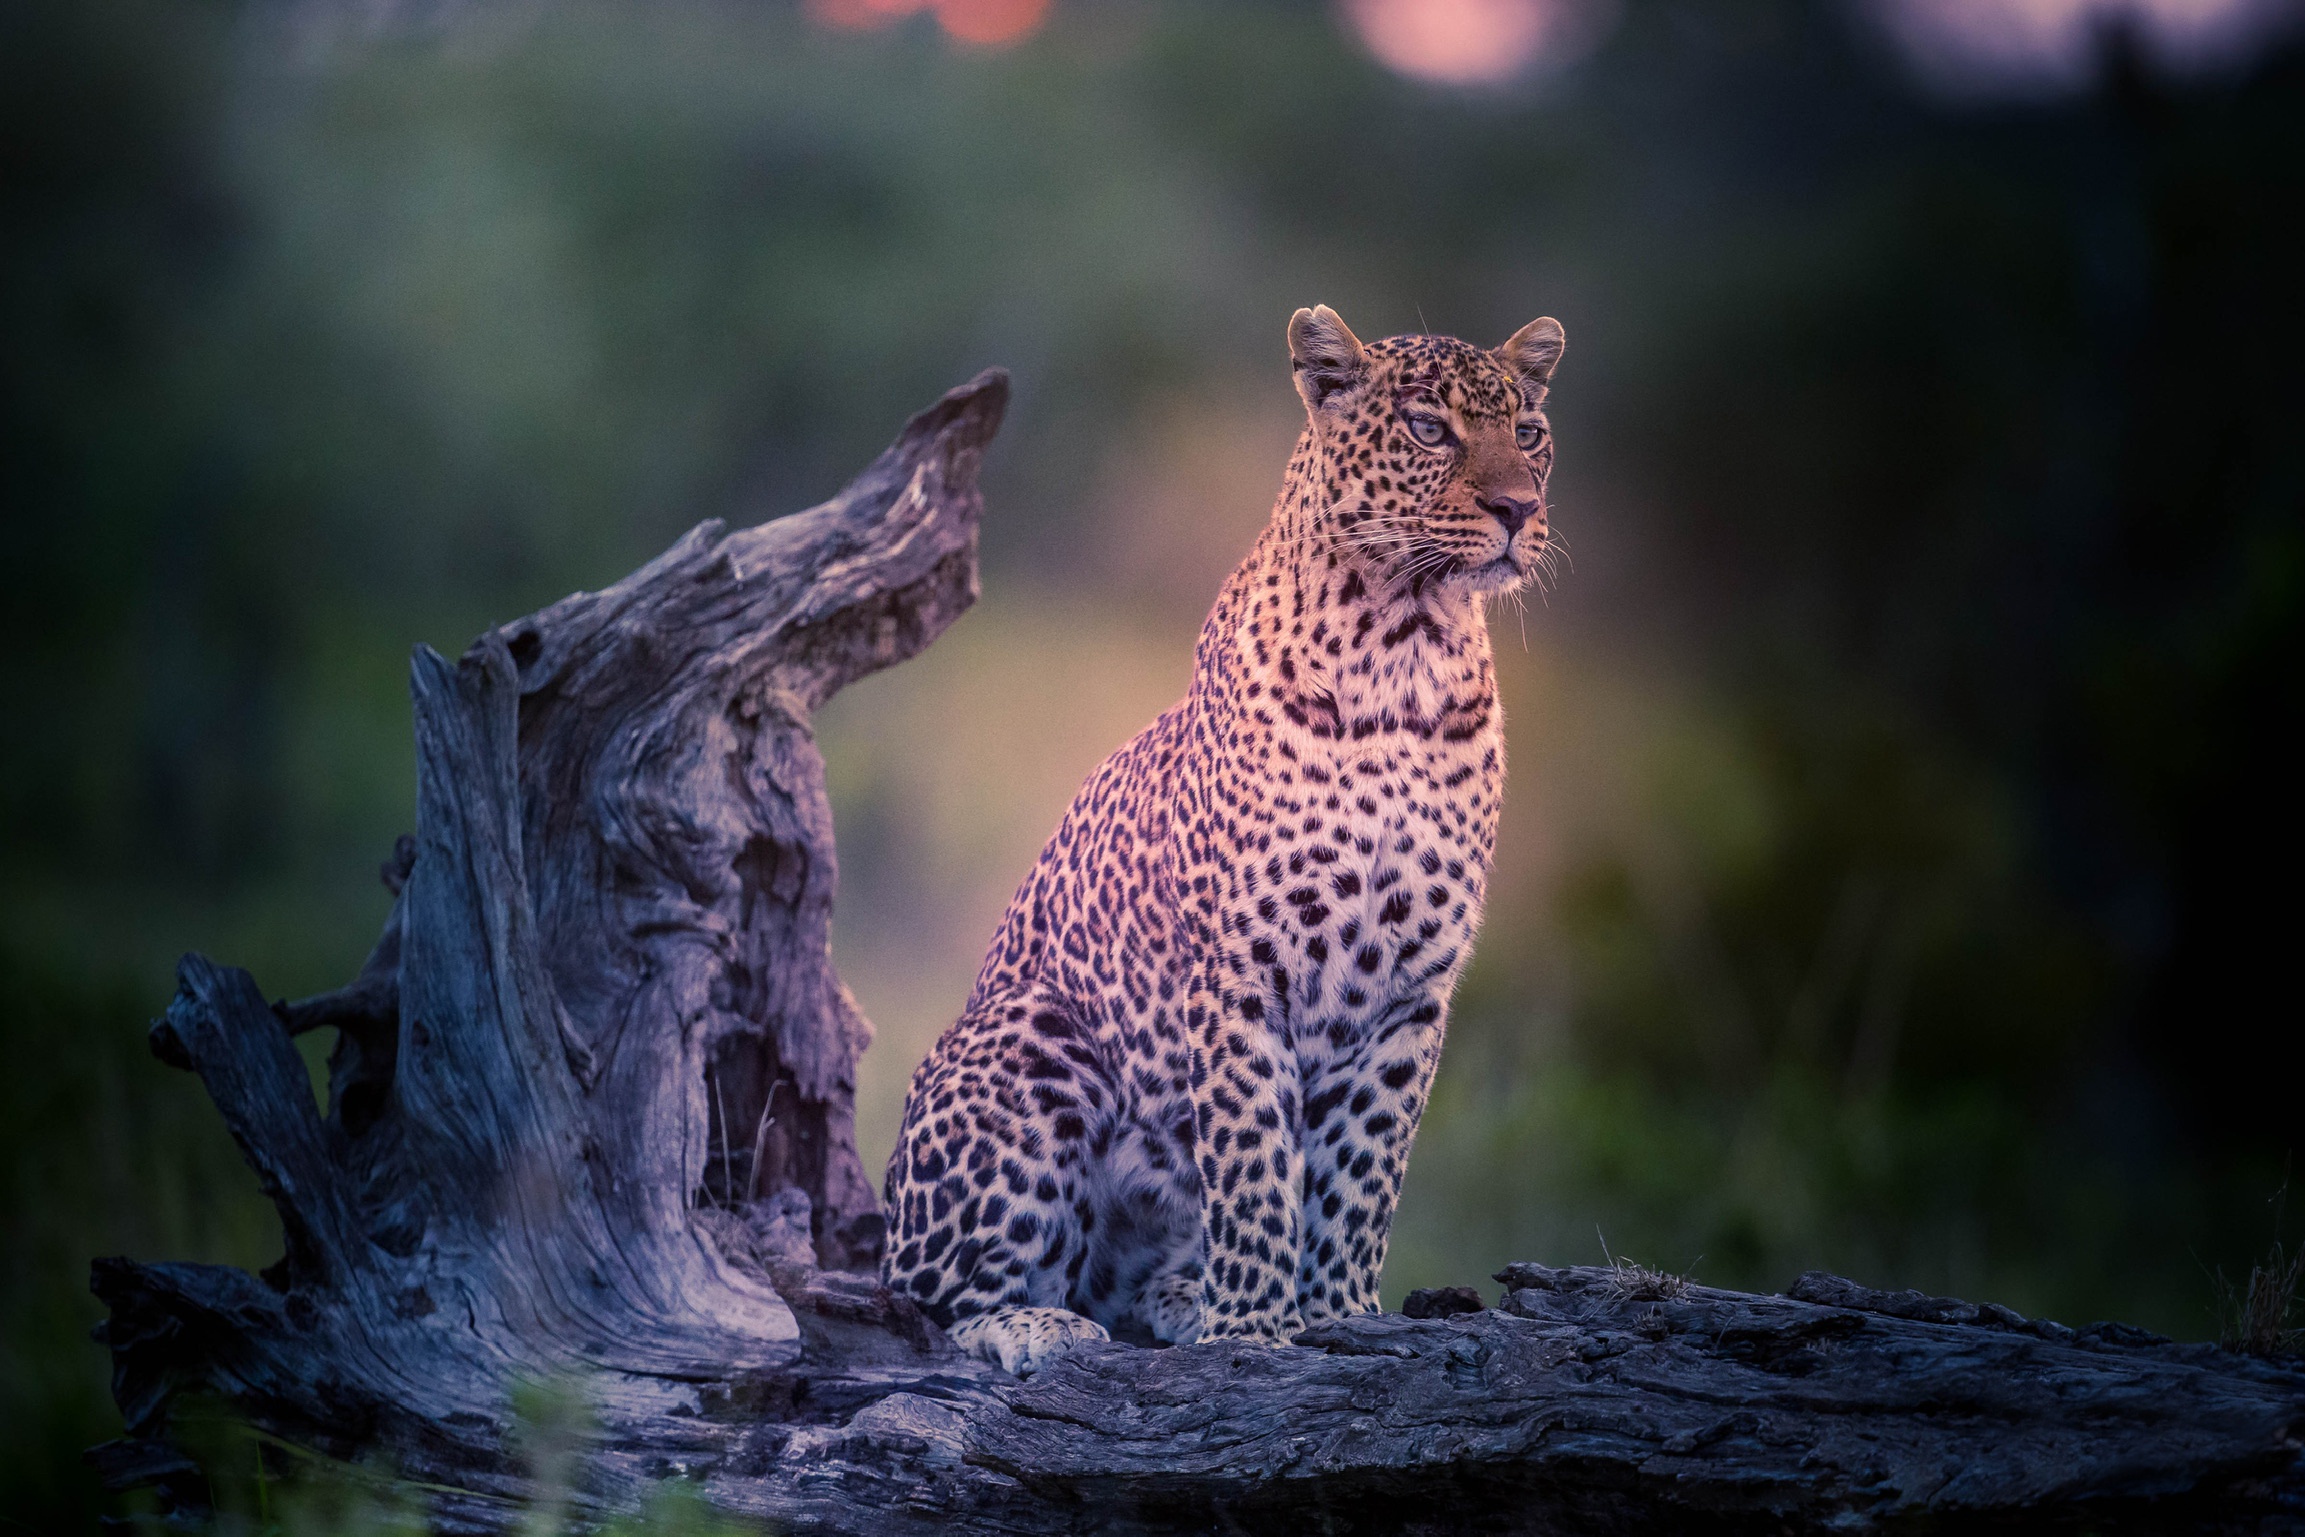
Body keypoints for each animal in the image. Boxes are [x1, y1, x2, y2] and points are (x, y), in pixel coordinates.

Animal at [880, 297, 1567, 1373]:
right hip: (1031, 1037)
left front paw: (1337, 1311)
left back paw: (1174, 1296)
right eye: (1428, 429)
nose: (1516, 510)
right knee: (926, 1296)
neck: (1405, 654)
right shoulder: (1242, 971)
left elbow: (1364, 1168)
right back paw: (1043, 1324)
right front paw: (1251, 1327)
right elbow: (1252, 1164)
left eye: (1528, 433)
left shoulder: (1413, 990)